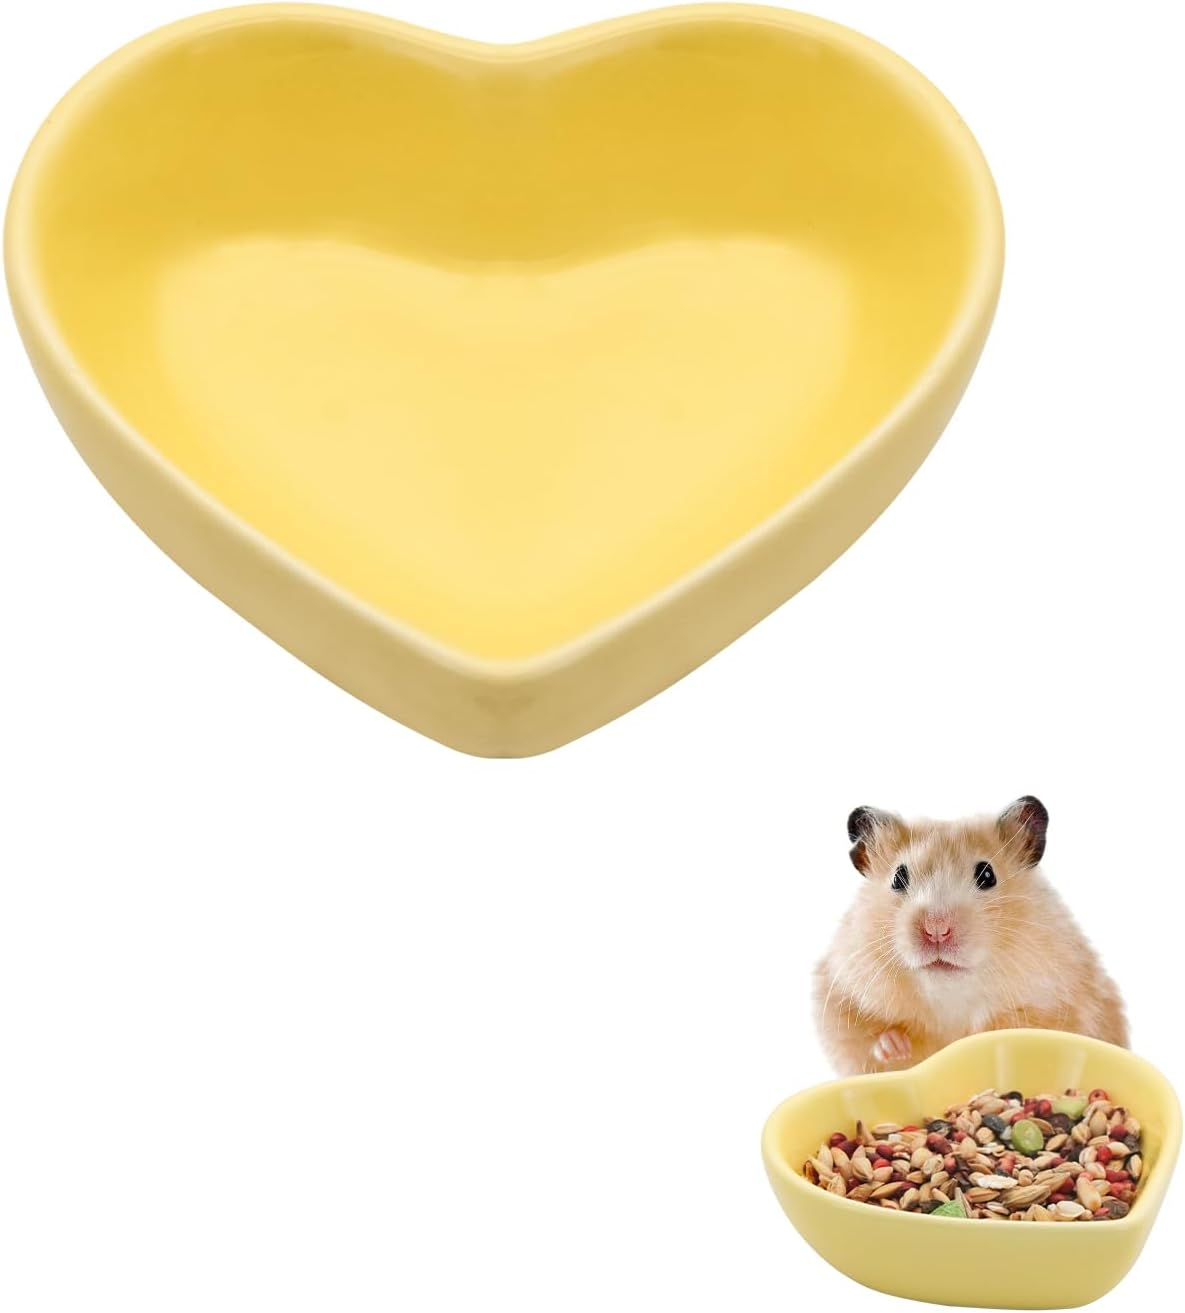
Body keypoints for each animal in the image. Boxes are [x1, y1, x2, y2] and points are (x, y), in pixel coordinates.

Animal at [812, 796, 1128, 1075]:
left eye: (987, 875)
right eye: (898, 878)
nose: (936, 930)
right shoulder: (840, 997)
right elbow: (868, 1038)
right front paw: (895, 1046)